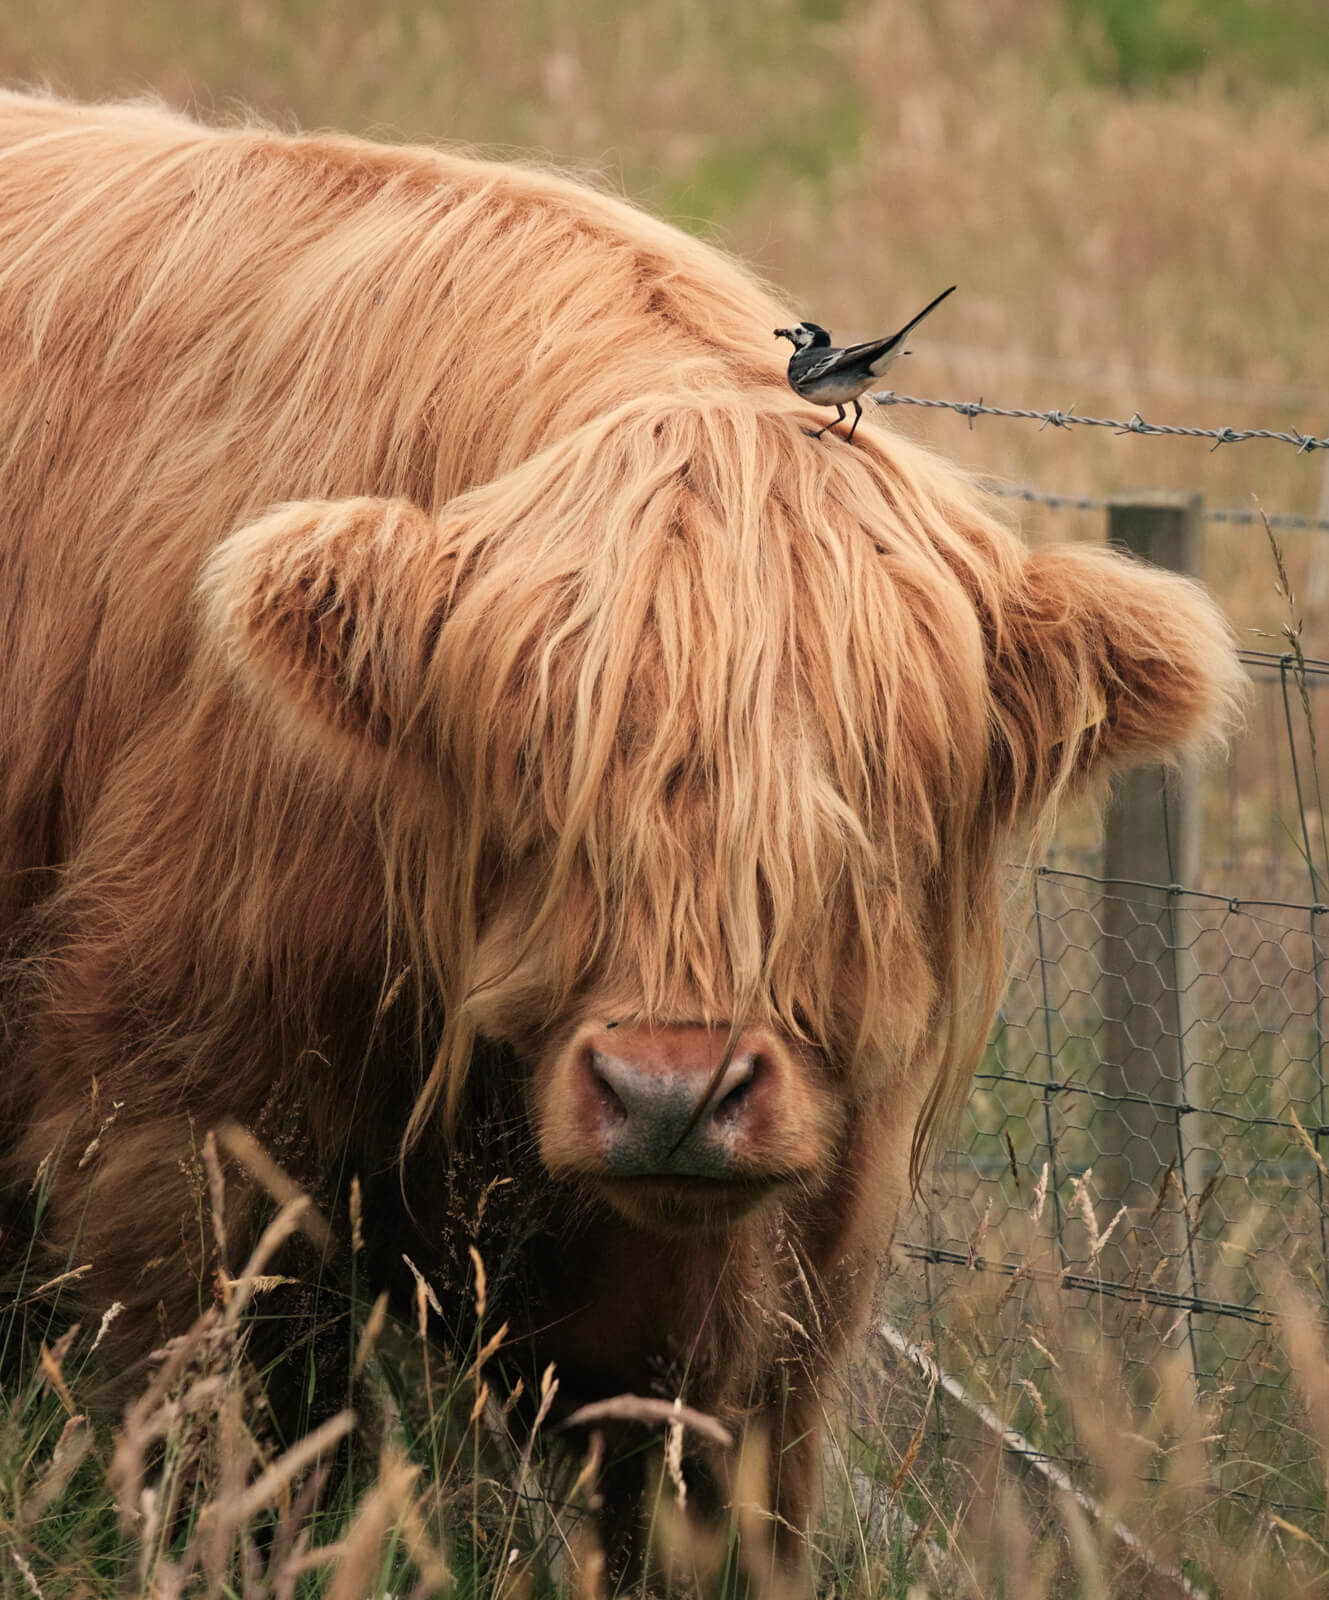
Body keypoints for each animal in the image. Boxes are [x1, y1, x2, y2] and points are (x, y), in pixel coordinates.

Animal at [2, 96, 1247, 1587]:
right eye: (535, 785)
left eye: (858, 817)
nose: (669, 1093)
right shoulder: (177, 1142)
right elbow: (244, 1473)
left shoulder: (752, 1304)